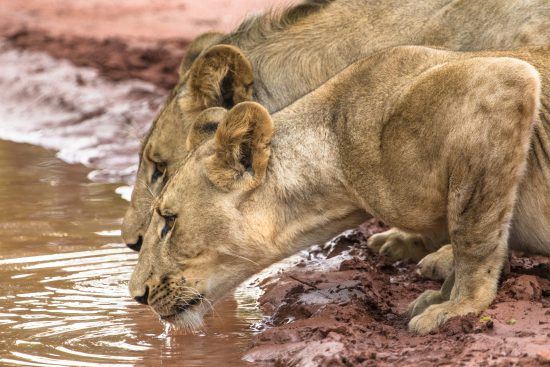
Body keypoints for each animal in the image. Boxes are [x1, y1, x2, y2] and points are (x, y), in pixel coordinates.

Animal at [128, 44, 550, 334]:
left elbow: (473, 235)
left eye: (168, 221)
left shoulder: (502, 87)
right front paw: (441, 293)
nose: (137, 295)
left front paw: (458, 305)